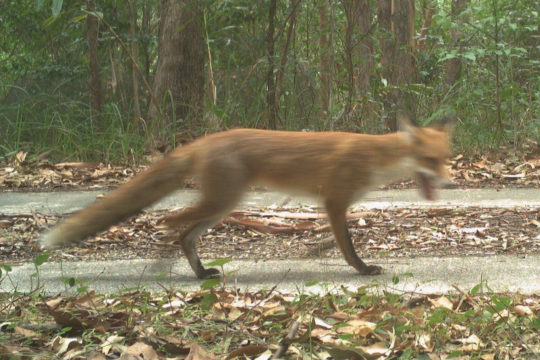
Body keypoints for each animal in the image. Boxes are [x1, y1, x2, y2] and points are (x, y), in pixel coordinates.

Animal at [42, 115, 454, 278]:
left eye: (447, 158)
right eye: (431, 160)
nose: (450, 184)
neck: (374, 157)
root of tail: (205, 140)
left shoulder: (336, 204)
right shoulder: (334, 201)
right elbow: (349, 247)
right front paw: (363, 270)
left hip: (224, 206)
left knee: (184, 235)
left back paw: (199, 273)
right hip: (221, 202)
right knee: (167, 221)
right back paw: (163, 258)